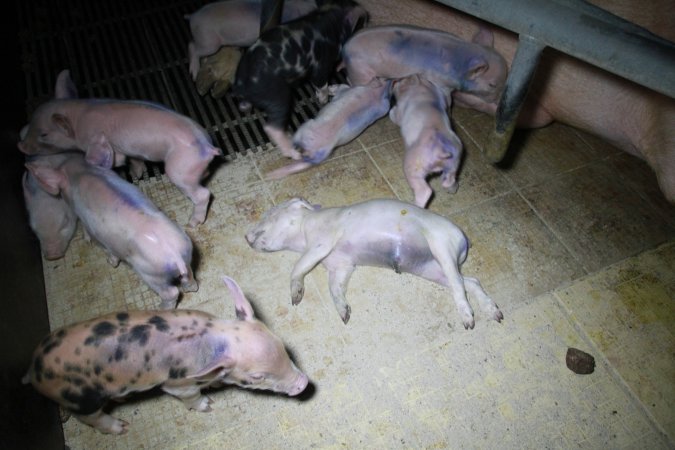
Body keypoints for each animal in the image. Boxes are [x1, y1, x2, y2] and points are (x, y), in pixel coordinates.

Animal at [18, 70, 220, 227]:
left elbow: (115, 159)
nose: (21, 146)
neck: (78, 117)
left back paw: (192, 223)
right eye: (32, 121)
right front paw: (137, 174)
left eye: (44, 134)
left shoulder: (96, 141)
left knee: (203, 194)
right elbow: (135, 160)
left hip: (179, 169)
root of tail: (208, 147)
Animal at [25, 152, 198, 310]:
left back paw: (159, 308)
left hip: (151, 275)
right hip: (187, 256)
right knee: (189, 277)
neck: (81, 172)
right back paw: (190, 288)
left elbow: (100, 243)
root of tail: (176, 256)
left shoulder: (91, 226)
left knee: (171, 293)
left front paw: (101, 254)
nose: (52, 257)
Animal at [344, 25, 508, 105]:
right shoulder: (441, 81)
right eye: (492, 85)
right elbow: (447, 97)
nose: (496, 102)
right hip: (360, 69)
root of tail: (345, 48)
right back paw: (376, 83)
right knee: (353, 81)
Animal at [390, 74, 464, 208]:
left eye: (402, 79)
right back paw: (451, 188)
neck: (424, 87)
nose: (393, 80)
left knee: (425, 191)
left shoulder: (400, 110)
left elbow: (394, 115)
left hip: (412, 167)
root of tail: (442, 150)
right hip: (453, 164)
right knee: (450, 180)